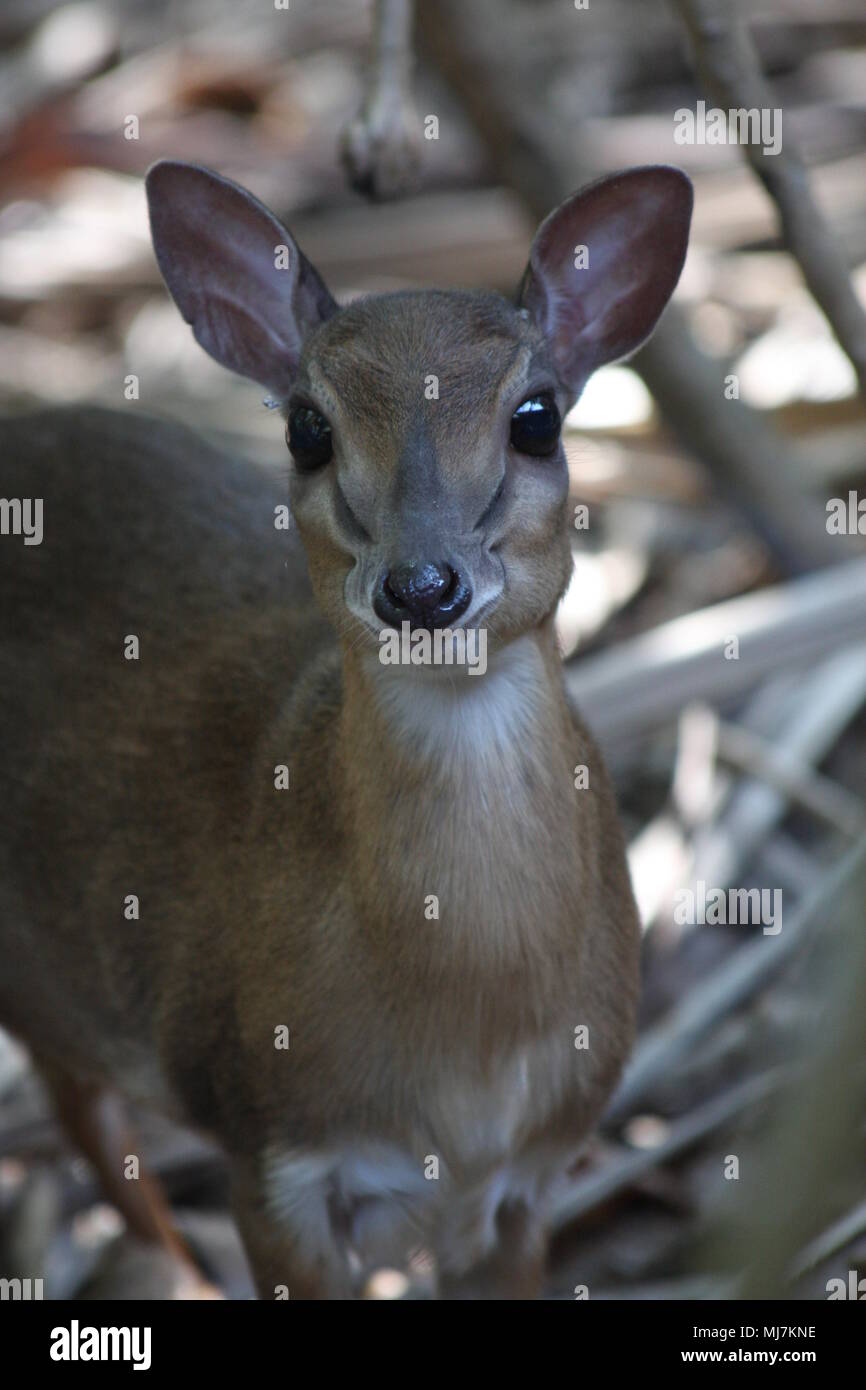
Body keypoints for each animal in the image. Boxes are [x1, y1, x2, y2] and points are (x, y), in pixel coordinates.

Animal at [0, 162, 692, 1301]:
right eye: (307, 429)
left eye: (536, 417)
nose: (421, 586)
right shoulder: (270, 1145)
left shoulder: (527, 1173)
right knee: (89, 1123)